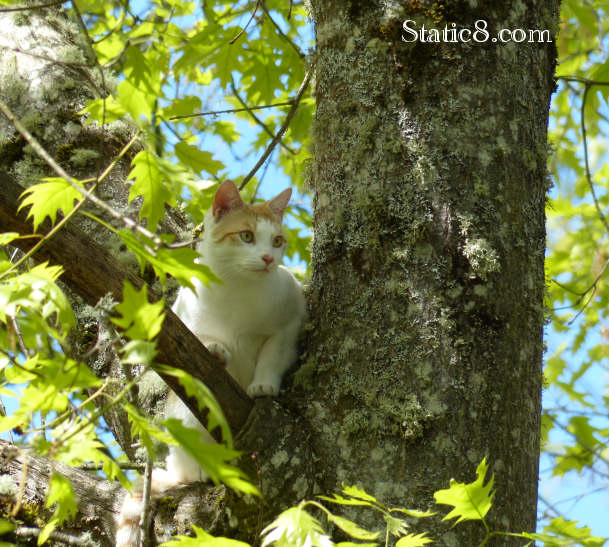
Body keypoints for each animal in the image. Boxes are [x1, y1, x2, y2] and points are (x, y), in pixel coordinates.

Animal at [115, 183, 304, 547]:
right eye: (246, 236)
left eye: (277, 241)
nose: (269, 258)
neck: (238, 292)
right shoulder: (181, 321)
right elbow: (201, 341)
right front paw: (217, 348)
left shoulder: (289, 322)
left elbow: (272, 355)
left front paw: (263, 385)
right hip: (183, 419)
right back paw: (206, 468)